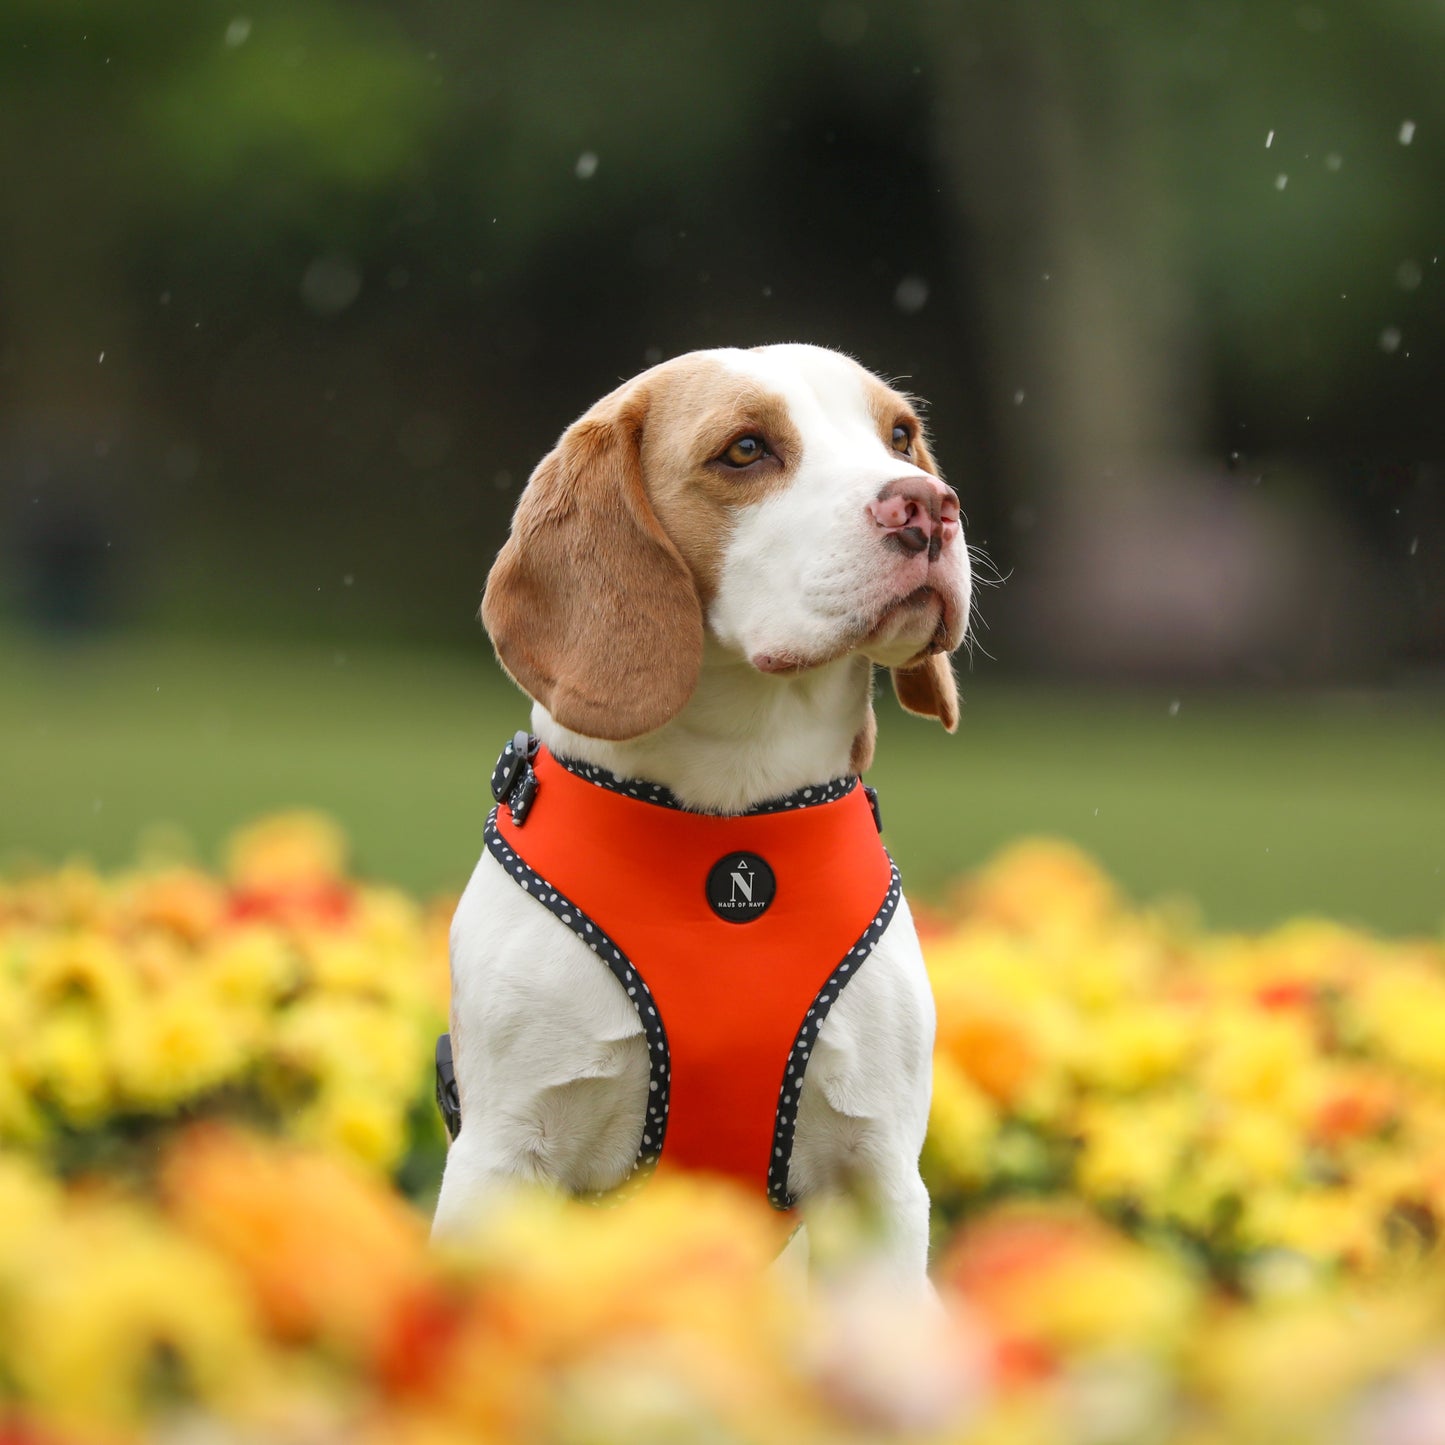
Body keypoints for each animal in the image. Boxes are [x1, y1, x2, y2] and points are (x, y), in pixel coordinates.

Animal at [427, 343, 971, 1294]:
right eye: (745, 450)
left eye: (900, 435)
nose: (927, 506)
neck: (733, 830)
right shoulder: (502, 1157)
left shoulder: (877, 1175)